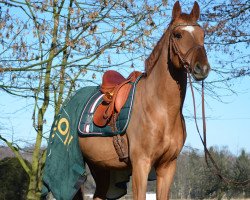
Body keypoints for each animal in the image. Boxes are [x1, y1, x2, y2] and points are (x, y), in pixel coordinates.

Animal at [78, 1, 209, 198]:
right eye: (178, 35)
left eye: (203, 35)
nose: (202, 68)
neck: (161, 110)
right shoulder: (141, 164)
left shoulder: (167, 166)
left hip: (100, 168)